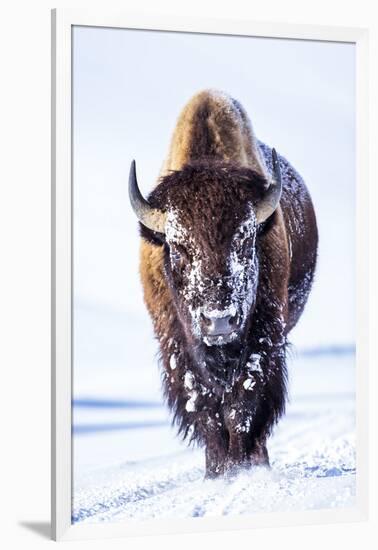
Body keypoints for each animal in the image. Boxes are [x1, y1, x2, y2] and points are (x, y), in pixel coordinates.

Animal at [128, 89, 318, 478]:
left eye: (246, 241)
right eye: (178, 248)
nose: (218, 321)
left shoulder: (264, 338)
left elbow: (242, 404)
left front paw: (241, 468)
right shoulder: (176, 346)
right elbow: (205, 408)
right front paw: (217, 472)